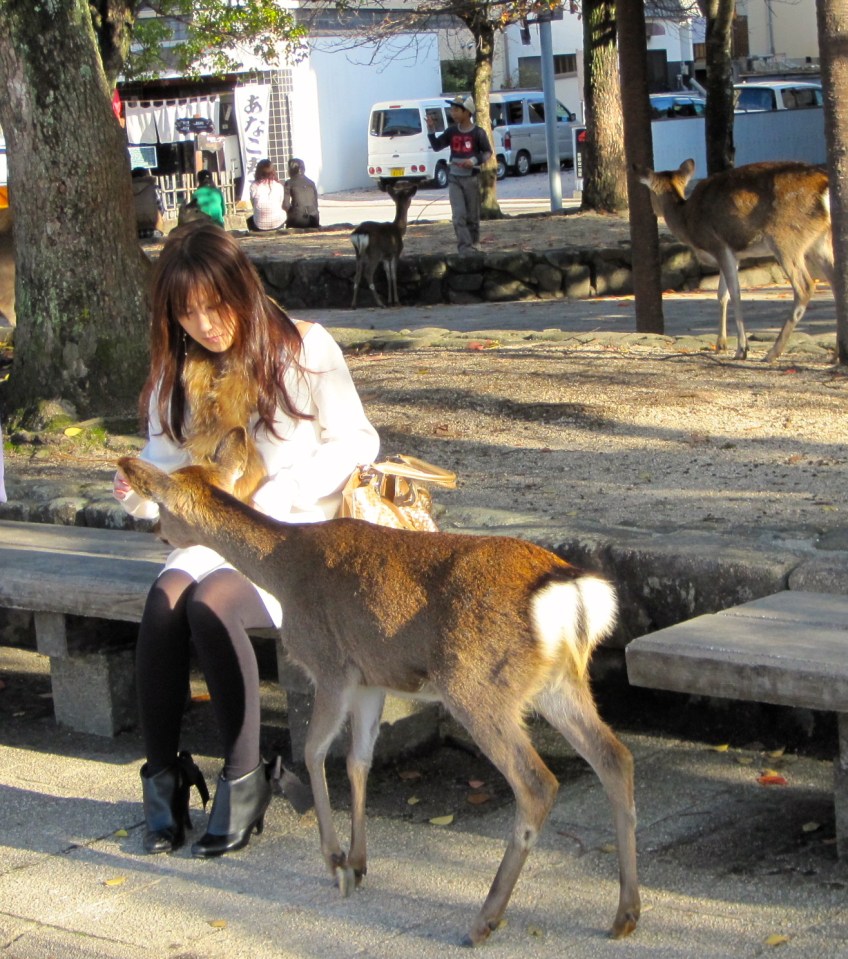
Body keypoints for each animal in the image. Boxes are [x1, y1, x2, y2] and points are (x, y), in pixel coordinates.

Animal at [118, 427, 639, 948]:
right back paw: (625, 914)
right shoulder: (371, 679)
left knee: (537, 783)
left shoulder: (331, 665)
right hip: (560, 682)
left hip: (475, 684)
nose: (158, 532)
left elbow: (313, 752)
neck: (282, 571)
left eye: (163, 506)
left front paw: (335, 864)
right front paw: (359, 861)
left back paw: (483, 921)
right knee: (615, 757)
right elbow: (358, 760)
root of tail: (572, 590)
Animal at [350, 180, 418, 309]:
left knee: (357, 275)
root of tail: (359, 232)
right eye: (410, 199)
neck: (399, 230)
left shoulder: (386, 257)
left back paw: (354, 304)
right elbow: (394, 275)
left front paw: (390, 300)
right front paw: (396, 301)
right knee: (368, 273)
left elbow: (388, 275)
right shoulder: (395, 252)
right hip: (374, 252)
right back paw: (380, 303)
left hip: (358, 252)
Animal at [634, 159, 833, 362]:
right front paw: (721, 345)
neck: (688, 222)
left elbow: (734, 293)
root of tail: (824, 184)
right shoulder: (734, 254)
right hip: (820, 242)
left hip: (786, 239)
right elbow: (722, 294)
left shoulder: (719, 245)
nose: (653, 211)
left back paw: (772, 353)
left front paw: (742, 349)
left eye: (649, 192)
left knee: (805, 286)